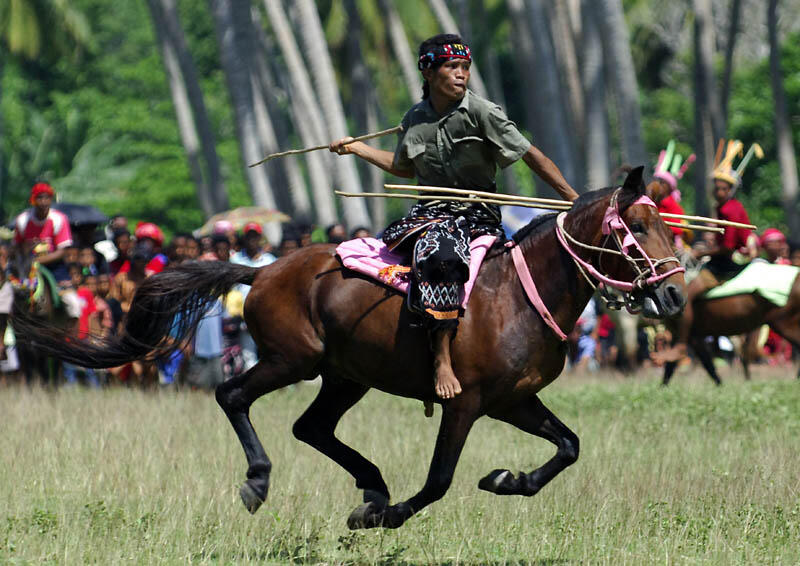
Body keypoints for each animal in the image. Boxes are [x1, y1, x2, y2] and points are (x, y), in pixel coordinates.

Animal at [10, 169, 688, 532]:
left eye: (665, 223)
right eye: (636, 228)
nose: (676, 293)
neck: (517, 295)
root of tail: (262, 270)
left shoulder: (513, 401)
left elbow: (569, 446)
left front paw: (506, 479)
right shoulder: (466, 403)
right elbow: (439, 480)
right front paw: (386, 518)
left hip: (345, 376)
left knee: (311, 427)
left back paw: (372, 484)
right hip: (293, 360)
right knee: (232, 393)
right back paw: (263, 481)